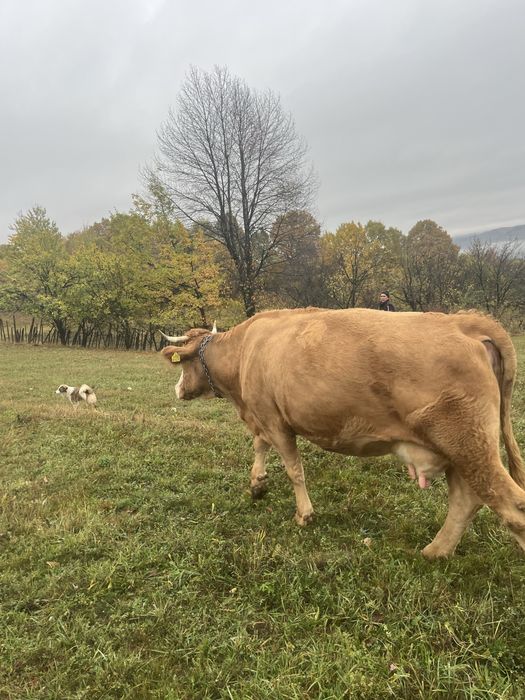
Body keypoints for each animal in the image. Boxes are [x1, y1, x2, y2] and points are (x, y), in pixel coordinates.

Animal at [160, 308, 525, 558]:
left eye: (183, 364)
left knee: (508, 505)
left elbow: (293, 469)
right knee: (466, 499)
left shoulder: (275, 420)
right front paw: (257, 484)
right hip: (459, 449)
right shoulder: (263, 416)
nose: (177, 390)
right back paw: (435, 551)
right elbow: (258, 445)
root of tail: (464, 321)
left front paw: (304, 514)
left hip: (466, 441)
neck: (245, 351)